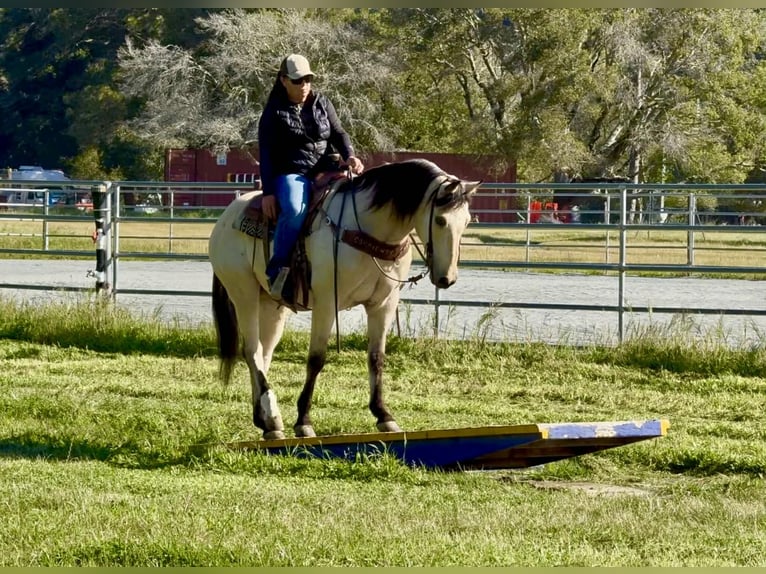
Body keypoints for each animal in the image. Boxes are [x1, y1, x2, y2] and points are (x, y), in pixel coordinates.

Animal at [208, 158, 480, 440]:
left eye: (467, 222)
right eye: (440, 220)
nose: (447, 278)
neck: (366, 227)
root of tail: (227, 216)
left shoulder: (383, 305)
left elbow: (376, 358)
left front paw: (384, 415)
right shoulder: (327, 302)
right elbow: (316, 359)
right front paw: (303, 421)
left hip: (272, 305)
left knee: (264, 352)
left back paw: (265, 420)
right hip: (244, 294)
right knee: (252, 350)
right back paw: (272, 418)